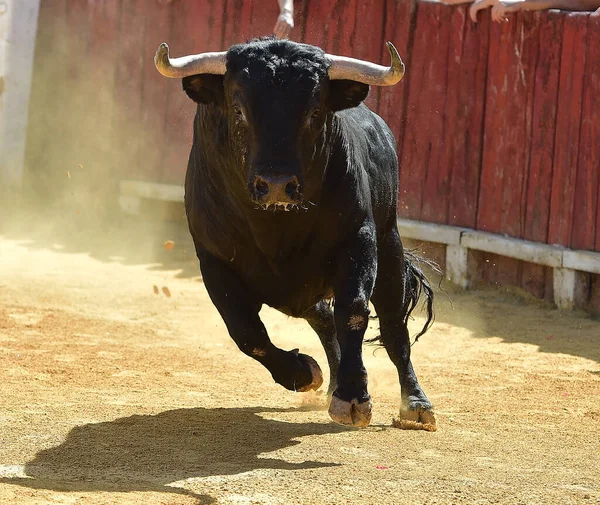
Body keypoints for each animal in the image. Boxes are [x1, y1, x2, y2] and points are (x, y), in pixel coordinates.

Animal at [159, 38, 436, 430]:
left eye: (314, 112)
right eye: (238, 110)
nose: (276, 184)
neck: (276, 228)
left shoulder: (358, 239)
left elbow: (354, 311)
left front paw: (353, 398)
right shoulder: (213, 260)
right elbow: (246, 332)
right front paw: (304, 373)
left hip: (390, 247)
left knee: (394, 326)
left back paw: (415, 404)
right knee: (322, 319)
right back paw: (330, 382)